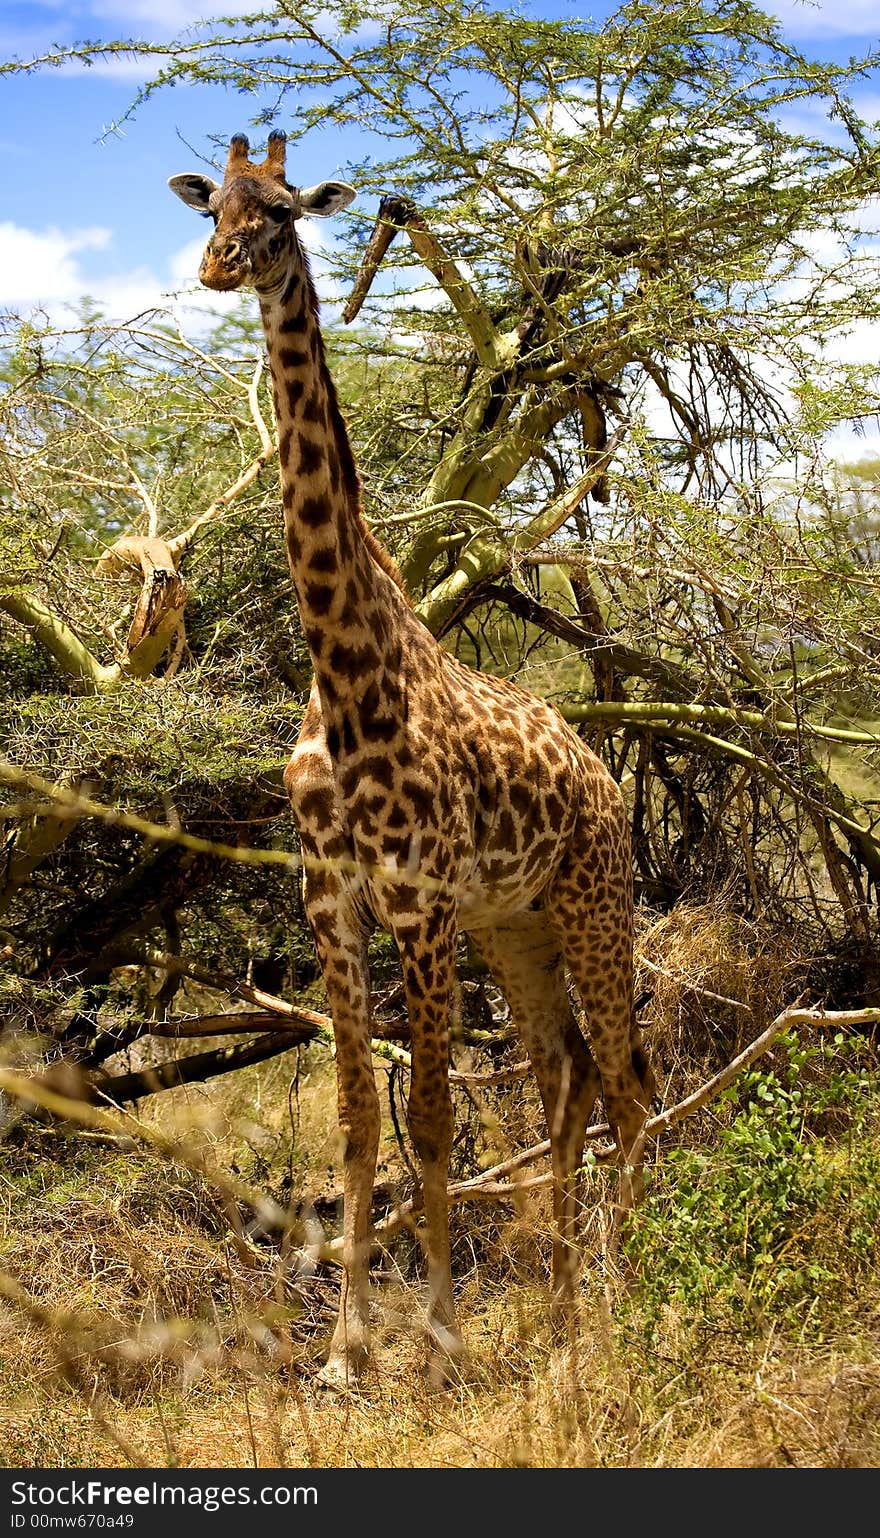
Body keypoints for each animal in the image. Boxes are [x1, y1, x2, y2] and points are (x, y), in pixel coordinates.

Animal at [170, 129, 652, 1384]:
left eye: (285, 208)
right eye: (211, 203)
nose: (218, 266)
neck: (345, 674)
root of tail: (603, 779)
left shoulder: (419, 899)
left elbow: (430, 1117)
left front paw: (433, 1333)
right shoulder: (331, 898)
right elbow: (353, 1123)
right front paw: (346, 1351)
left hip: (591, 904)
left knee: (628, 1083)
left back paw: (625, 1302)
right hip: (517, 924)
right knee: (566, 1076)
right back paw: (562, 1313)